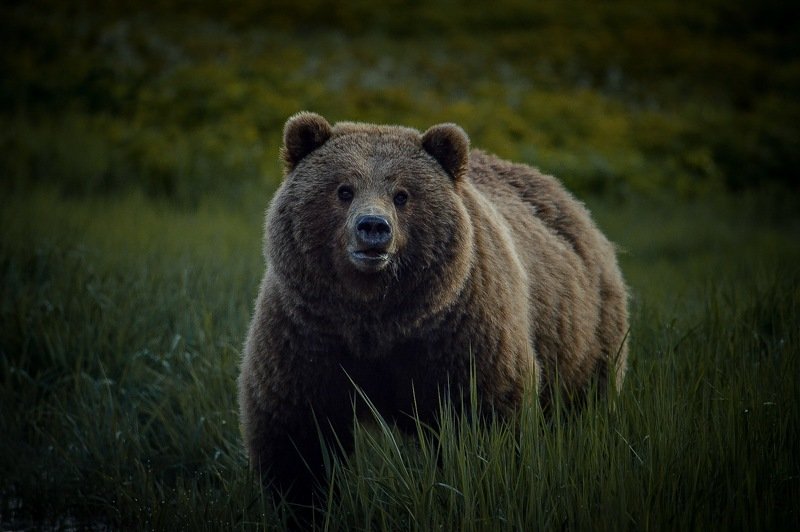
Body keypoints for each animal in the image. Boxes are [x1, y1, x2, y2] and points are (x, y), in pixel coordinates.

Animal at [238, 111, 629, 503]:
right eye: (343, 190)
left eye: (402, 195)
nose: (373, 227)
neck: (376, 319)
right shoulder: (308, 333)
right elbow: (297, 432)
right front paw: (301, 497)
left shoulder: (461, 334)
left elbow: (486, 417)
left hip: (584, 336)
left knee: (584, 406)